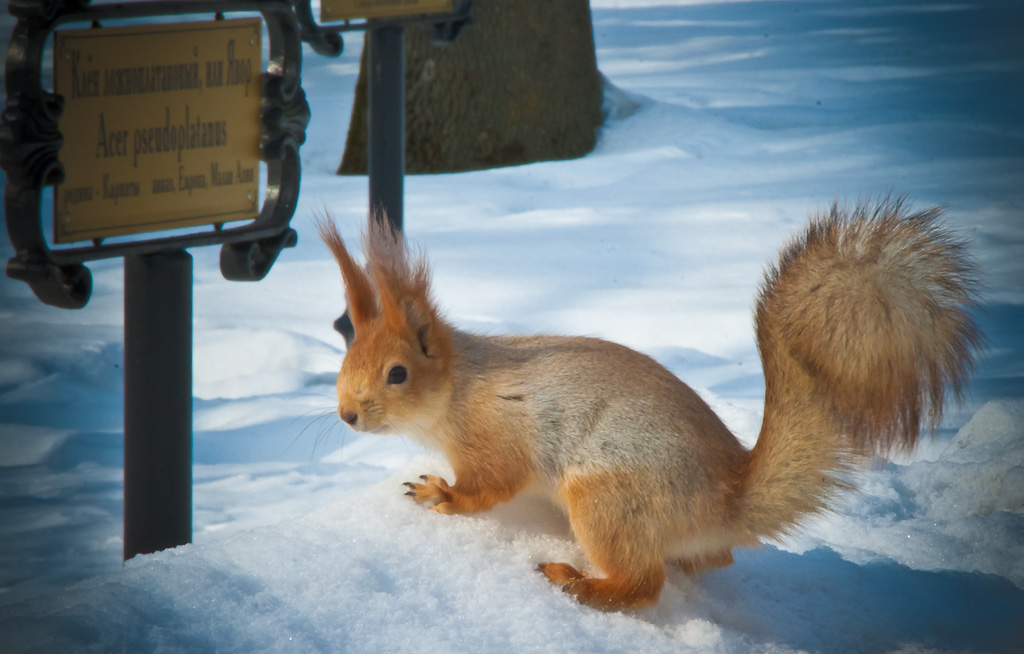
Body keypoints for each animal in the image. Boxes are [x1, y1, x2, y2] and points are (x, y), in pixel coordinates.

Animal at [313, 200, 983, 614]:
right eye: (345, 357)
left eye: (398, 373)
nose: (347, 414)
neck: (461, 388)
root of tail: (727, 499)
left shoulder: (496, 438)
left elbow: (488, 488)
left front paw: (440, 494)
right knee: (707, 561)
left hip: (606, 496)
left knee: (643, 584)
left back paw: (580, 585)